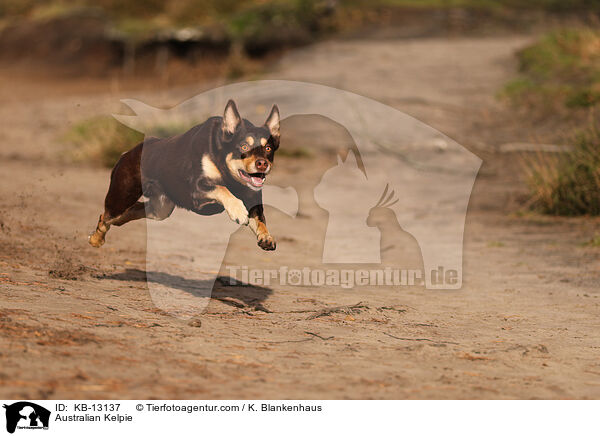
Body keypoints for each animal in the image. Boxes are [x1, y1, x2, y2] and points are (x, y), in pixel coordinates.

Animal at [89, 98, 282, 249]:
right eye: (243, 146)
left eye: (268, 148)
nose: (262, 163)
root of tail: (126, 153)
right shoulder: (196, 189)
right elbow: (222, 189)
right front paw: (237, 210)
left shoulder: (252, 197)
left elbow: (259, 219)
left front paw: (266, 237)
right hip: (121, 197)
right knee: (107, 216)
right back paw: (96, 238)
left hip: (160, 209)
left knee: (128, 213)